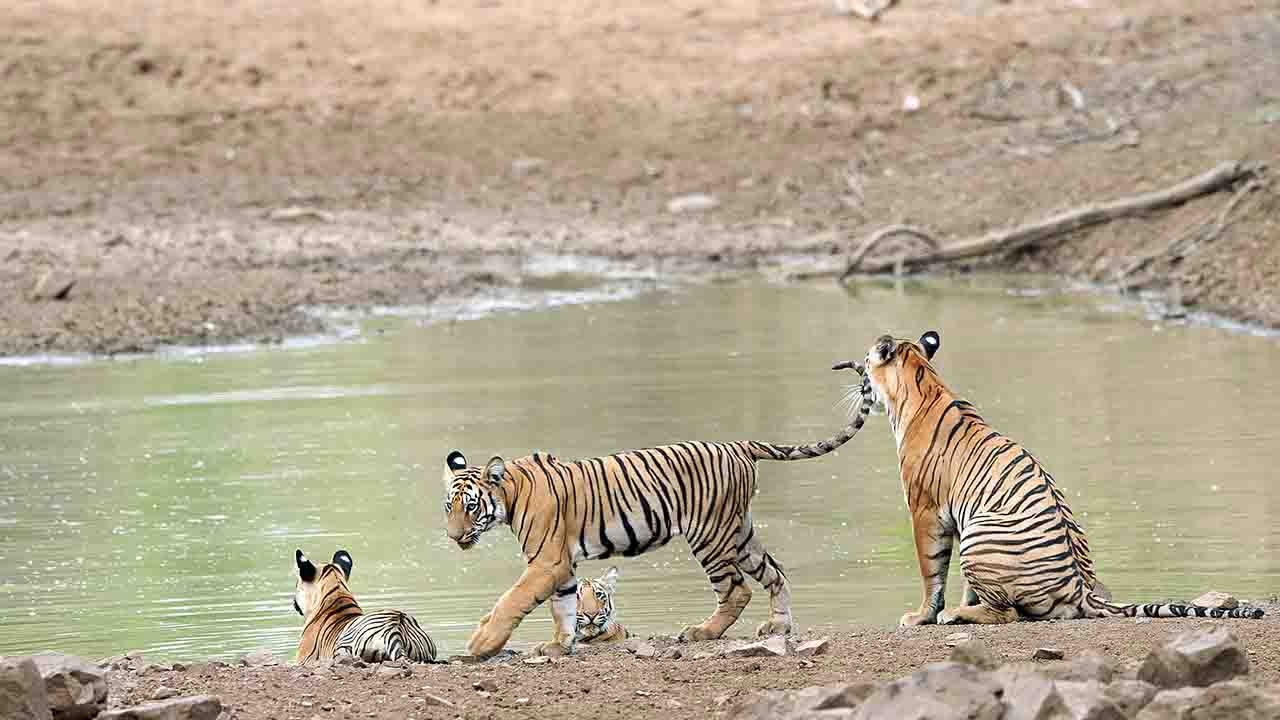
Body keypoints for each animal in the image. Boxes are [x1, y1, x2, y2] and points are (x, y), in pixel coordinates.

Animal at [442, 384, 875, 658]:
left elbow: (511, 600)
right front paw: (559, 646)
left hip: (710, 535)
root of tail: (738, 445)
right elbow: (563, 606)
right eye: (449, 507)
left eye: (471, 507)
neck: (510, 495)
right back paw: (778, 628)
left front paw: (480, 645)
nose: (453, 537)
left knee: (736, 589)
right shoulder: (562, 565)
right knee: (775, 572)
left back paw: (702, 632)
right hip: (740, 532)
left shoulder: (546, 561)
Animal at [841, 329, 1265, 625]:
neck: (923, 380)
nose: (857, 382)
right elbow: (963, 584)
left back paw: (955, 617)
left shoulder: (925, 510)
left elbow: (932, 570)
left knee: (1007, 613)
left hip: (981, 533)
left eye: (865, 362)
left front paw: (922, 616)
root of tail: (1082, 591)